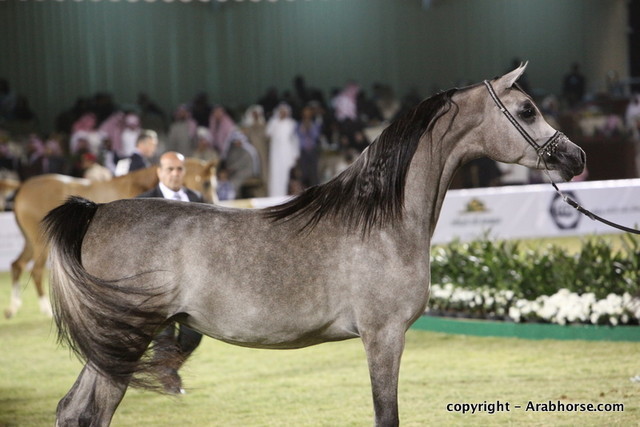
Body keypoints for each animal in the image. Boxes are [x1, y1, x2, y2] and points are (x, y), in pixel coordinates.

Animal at [6, 158, 216, 319]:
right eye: (207, 183)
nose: (213, 203)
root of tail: (23, 185)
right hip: (40, 242)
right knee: (36, 270)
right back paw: (47, 310)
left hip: (30, 241)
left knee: (17, 265)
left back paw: (13, 308)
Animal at [43, 65, 585, 426]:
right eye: (527, 110)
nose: (576, 156)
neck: (381, 221)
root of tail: (95, 212)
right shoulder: (384, 337)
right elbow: (386, 415)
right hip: (123, 341)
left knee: (73, 410)